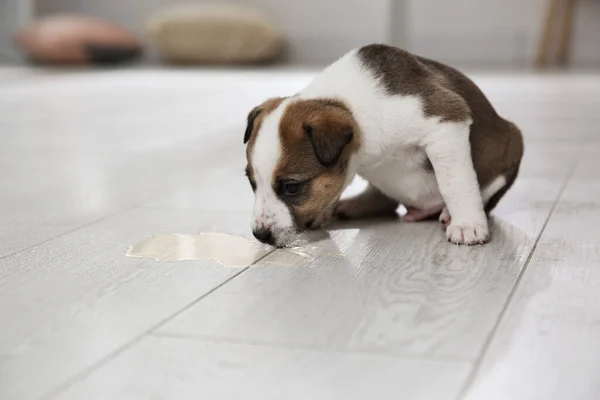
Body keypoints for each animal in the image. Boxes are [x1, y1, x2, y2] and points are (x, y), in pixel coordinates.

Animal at [241, 45, 524, 248]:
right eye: (252, 183)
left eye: (292, 187)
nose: (260, 235)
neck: (348, 104)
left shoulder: (447, 120)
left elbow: (455, 183)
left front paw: (467, 224)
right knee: (383, 199)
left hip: (512, 144)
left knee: (485, 190)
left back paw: (448, 212)